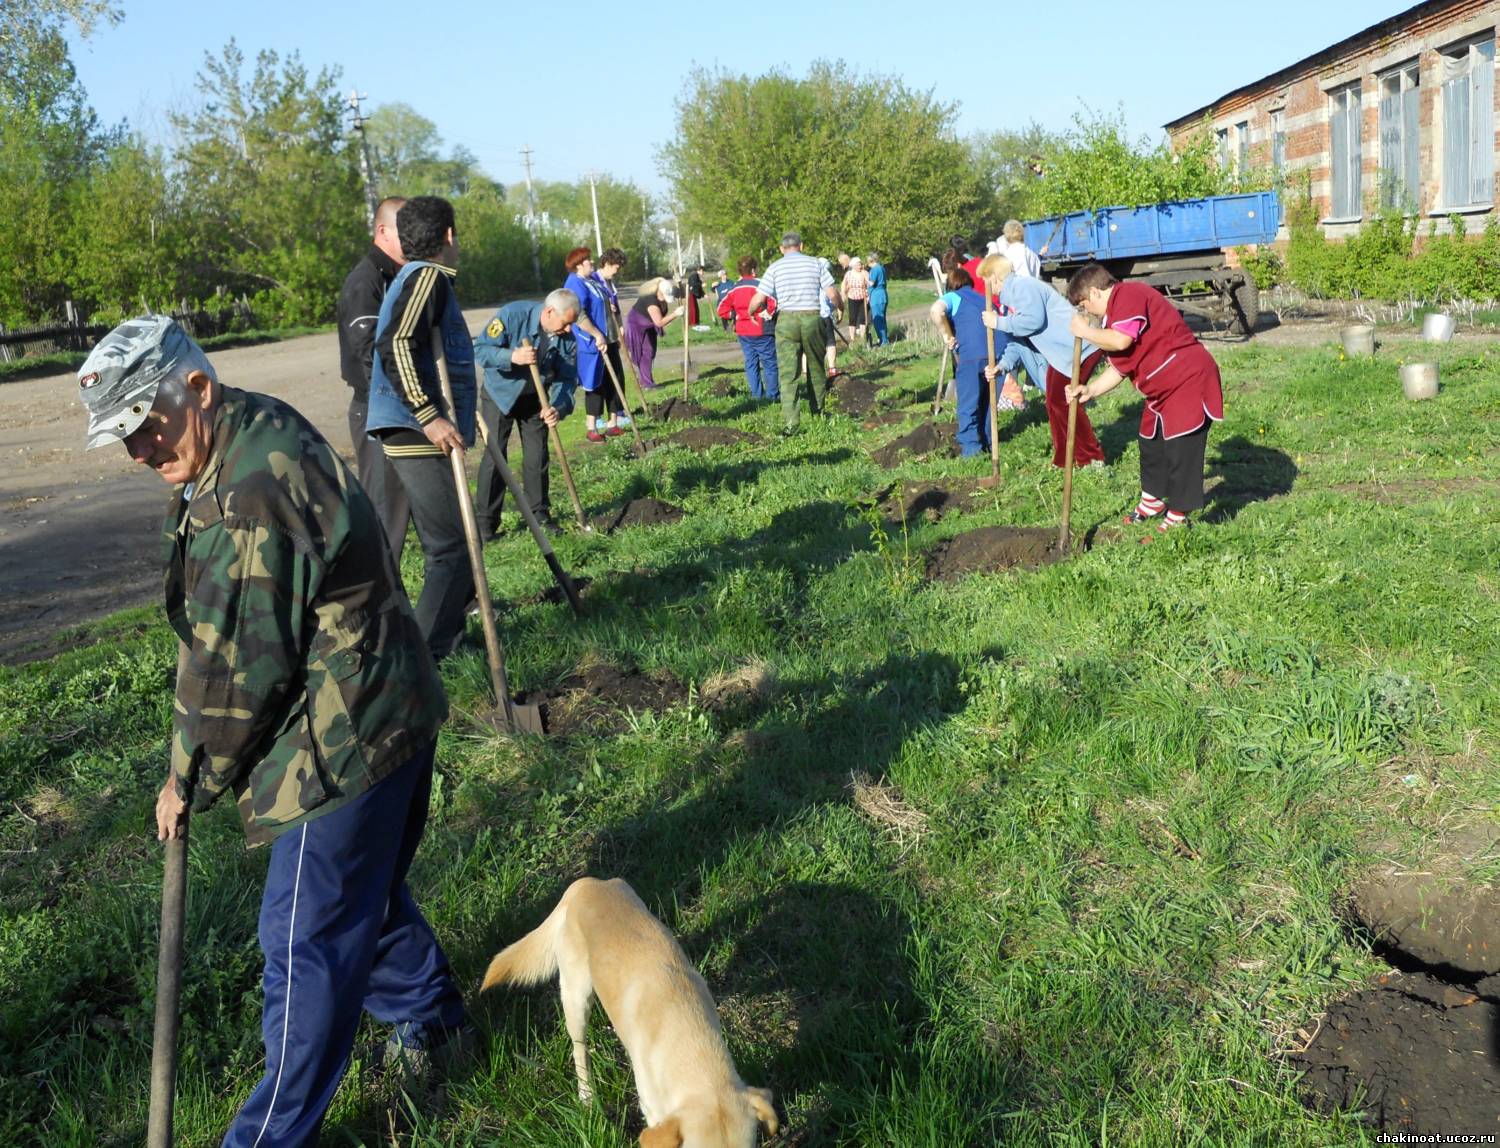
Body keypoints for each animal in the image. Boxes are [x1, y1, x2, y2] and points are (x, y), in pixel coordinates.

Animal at [483, 870, 786, 1140]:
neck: (688, 1037)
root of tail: (585, 884)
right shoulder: (653, 1109)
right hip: (576, 995)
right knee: (579, 1049)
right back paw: (587, 1097)